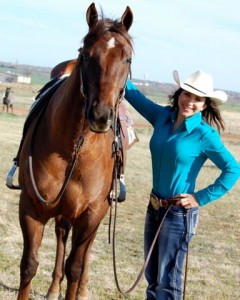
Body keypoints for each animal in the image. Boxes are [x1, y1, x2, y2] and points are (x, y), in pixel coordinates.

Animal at [16, 2, 133, 300]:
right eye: (87, 55)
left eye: (126, 59)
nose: (101, 115)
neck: (75, 150)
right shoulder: (31, 206)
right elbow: (29, 265)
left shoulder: (91, 214)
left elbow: (76, 267)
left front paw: (76, 287)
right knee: (61, 236)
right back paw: (53, 288)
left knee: (84, 253)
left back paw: (81, 290)